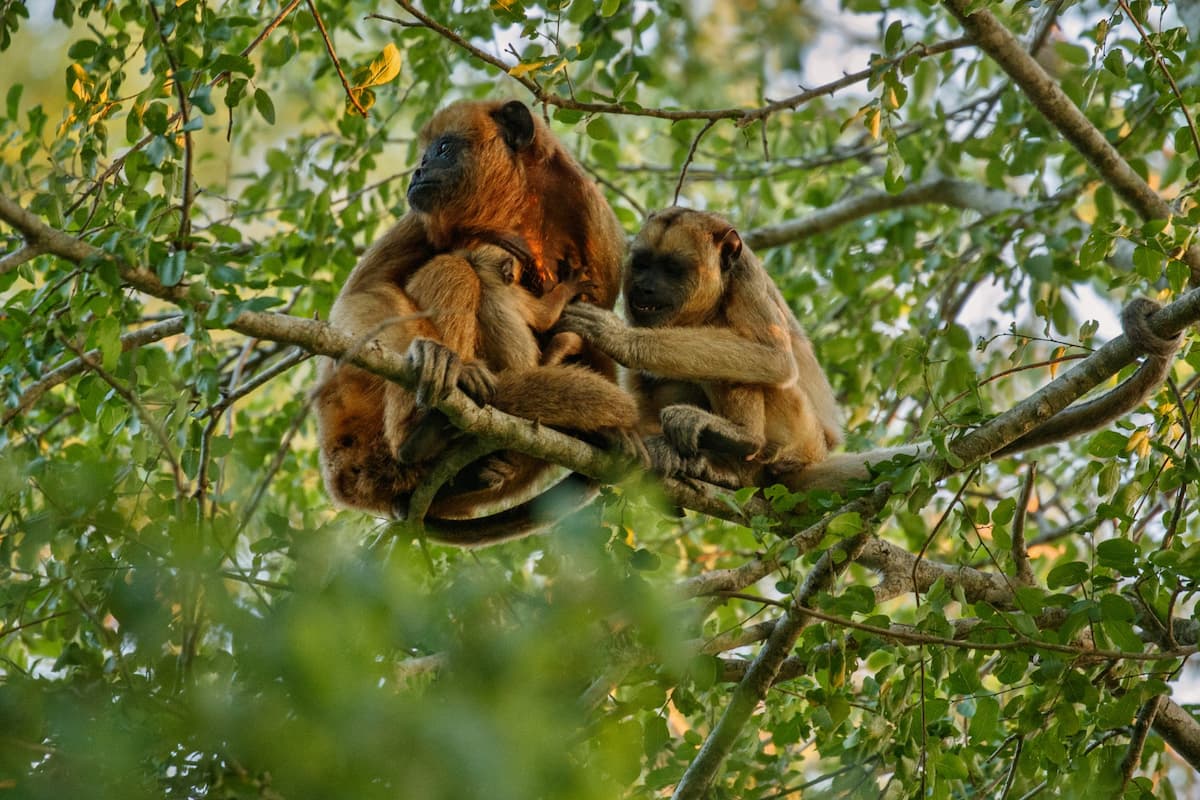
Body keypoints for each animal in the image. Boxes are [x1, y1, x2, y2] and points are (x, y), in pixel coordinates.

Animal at [316, 97, 638, 542]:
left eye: (443, 149)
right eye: (423, 155)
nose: (418, 171)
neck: (518, 203)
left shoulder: (598, 228)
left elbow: (595, 342)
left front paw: (611, 432)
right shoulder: (421, 216)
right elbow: (364, 292)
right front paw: (432, 356)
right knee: (452, 269)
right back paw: (424, 425)